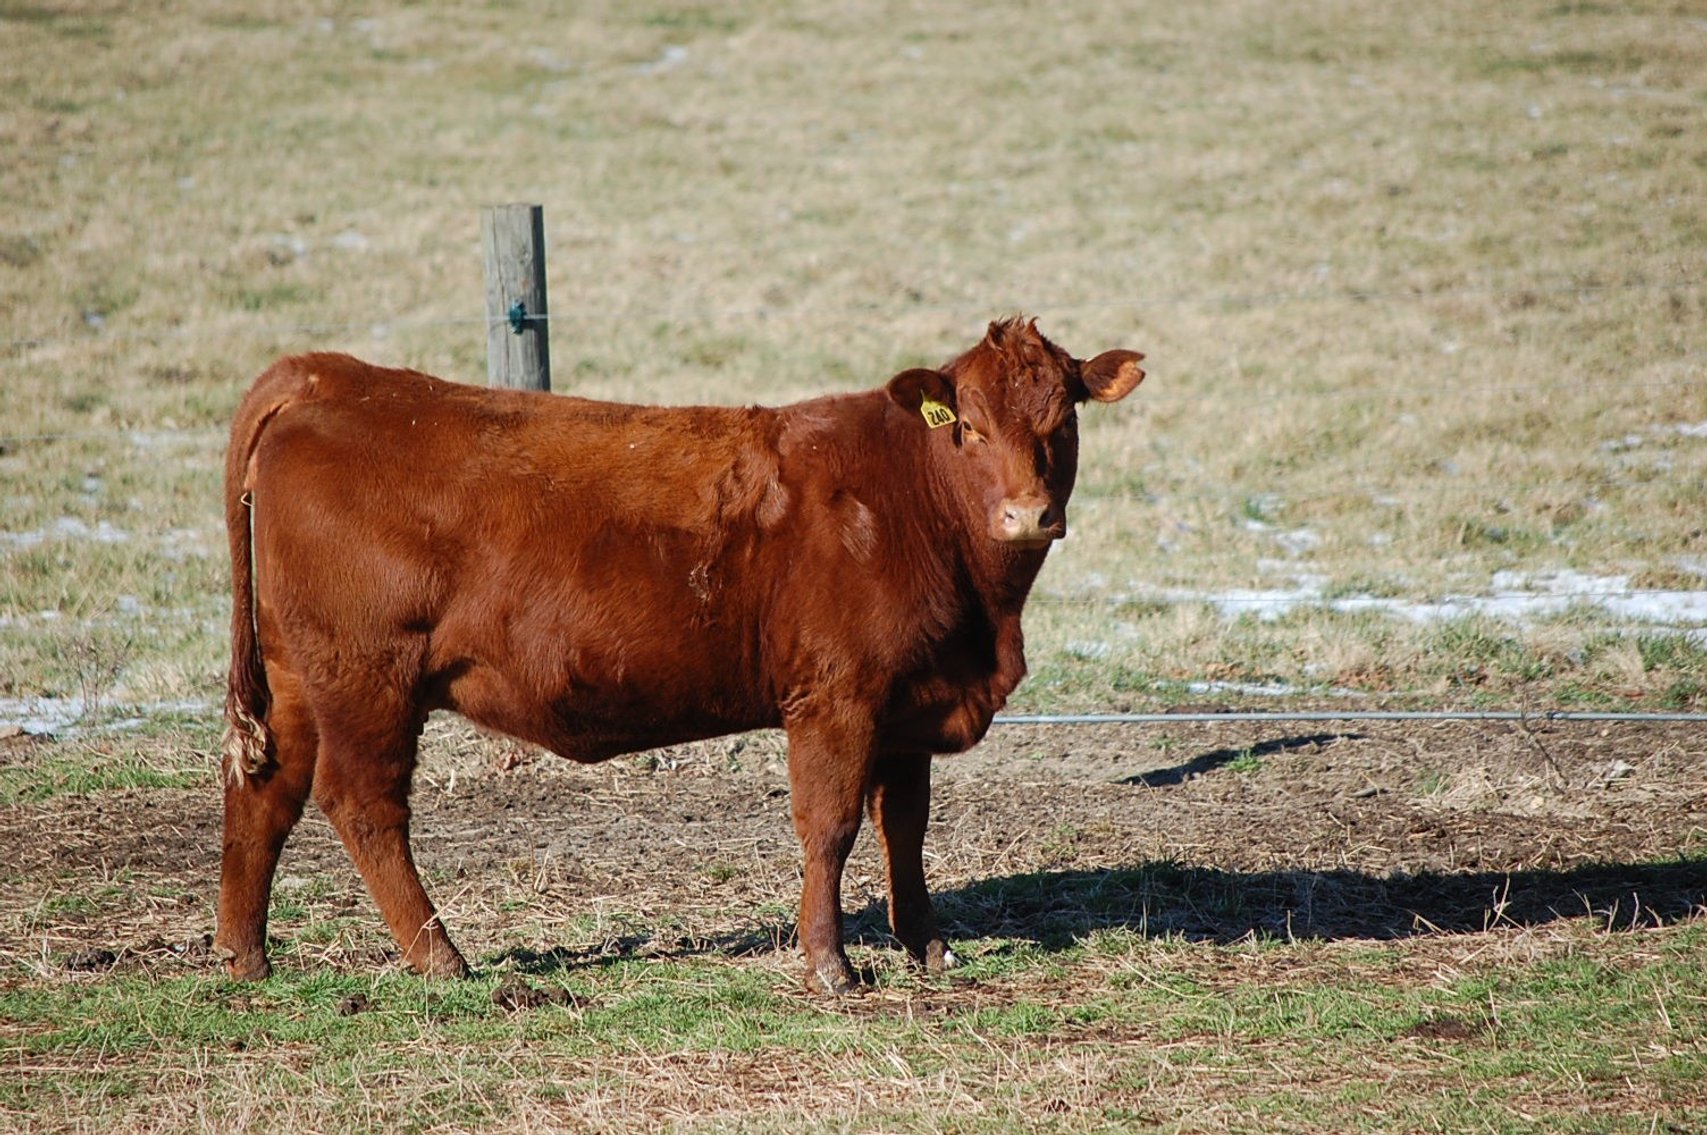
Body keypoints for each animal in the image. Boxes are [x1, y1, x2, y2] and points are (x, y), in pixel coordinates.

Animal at [214, 317, 1144, 994]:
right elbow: (831, 827)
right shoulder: (835, 699)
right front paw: (830, 964)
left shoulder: (910, 704)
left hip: (299, 677)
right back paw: (441, 957)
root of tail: (331, 376)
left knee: (264, 793)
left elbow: (904, 827)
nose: (1028, 515)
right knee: (363, 804)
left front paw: (928, 946)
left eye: (1061, 419)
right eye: (972, 427)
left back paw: (245, 956)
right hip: (367, 678)